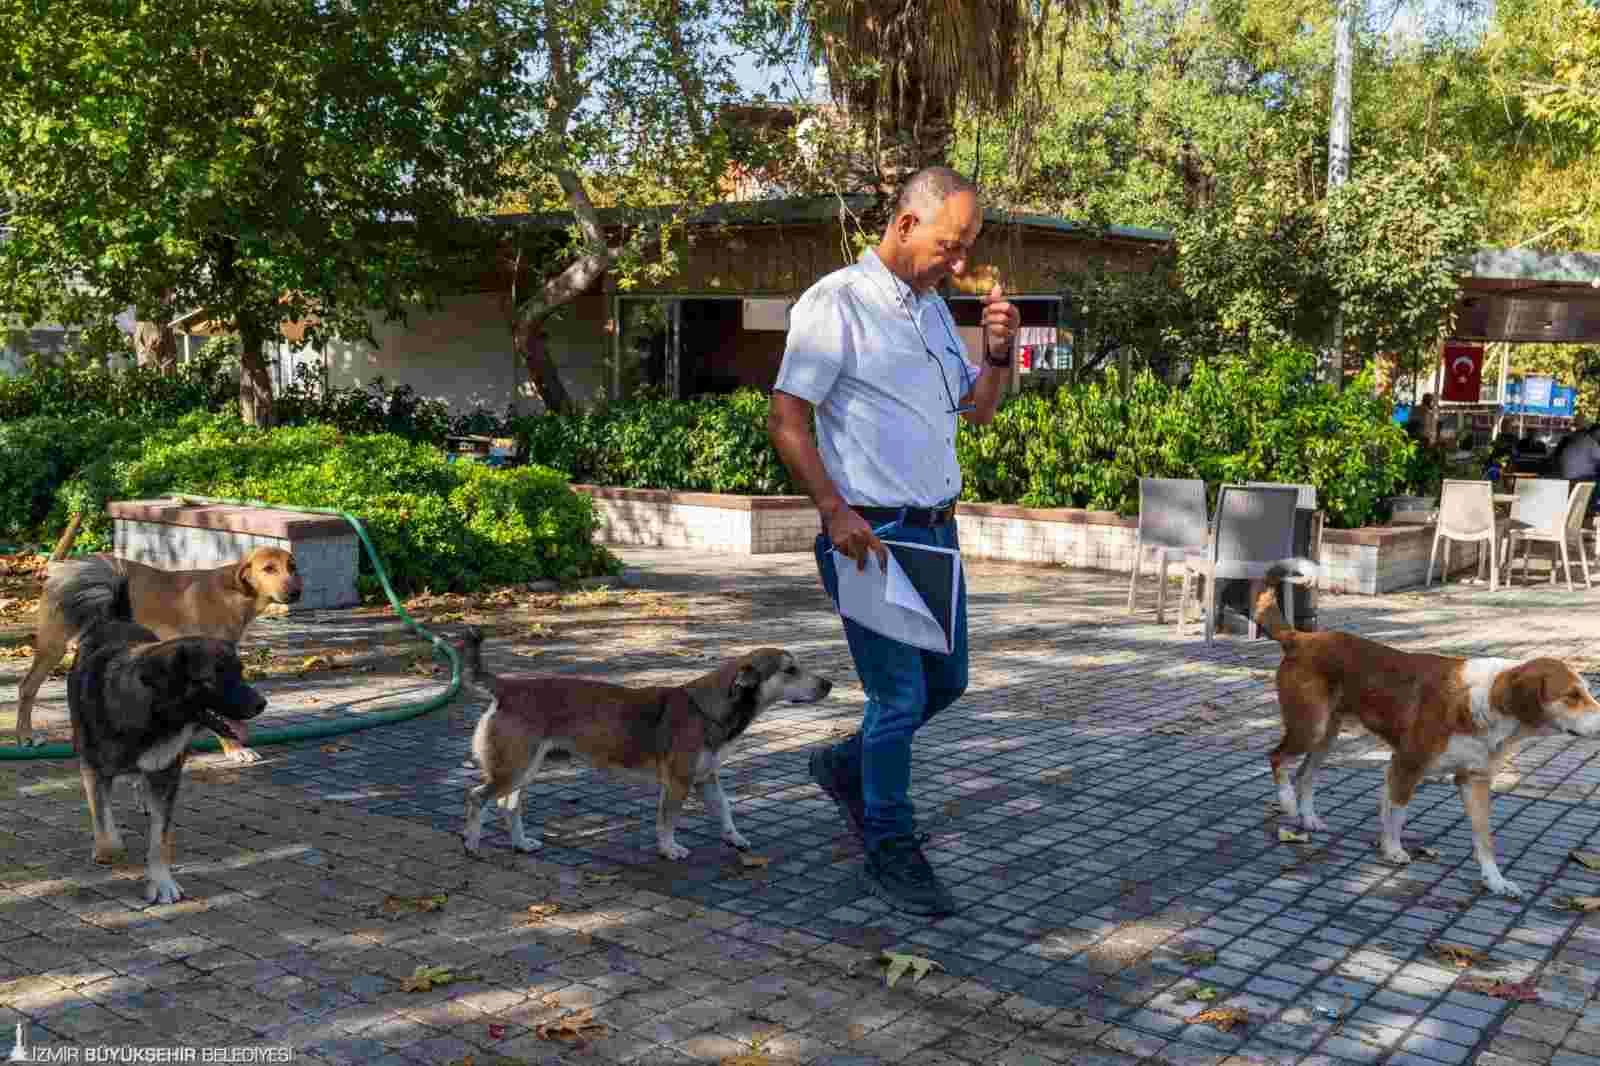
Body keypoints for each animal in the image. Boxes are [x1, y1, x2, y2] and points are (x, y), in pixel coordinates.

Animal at [59, 557, 268, 896]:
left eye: (239, 672)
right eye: (212, 678)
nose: (262, 704)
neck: (153, 718)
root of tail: (116, 619)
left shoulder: (167, 775)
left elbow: (160, 839)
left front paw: (162, 882)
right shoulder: (92, 766)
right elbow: (103, 820)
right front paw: (107, 850)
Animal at [457, 627, 832, 857]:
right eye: (790, 670)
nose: (828, 684)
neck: (708, 708)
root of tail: (507, 687)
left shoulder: (706, 779)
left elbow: (725, 811)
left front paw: (734, 838)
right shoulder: (678, 783)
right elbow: (667, 822)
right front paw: (669, 849)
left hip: (523, 772)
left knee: (508, 806)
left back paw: (520, 843)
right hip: (514, 771)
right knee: (477, 798)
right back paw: (472, 845)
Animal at [1254, 560, 1600, 889]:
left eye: (1586, 691)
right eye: (1572, 695)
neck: (1484, 702)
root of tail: (1302, 637)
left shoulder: (1473, 781)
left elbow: (1484, 839)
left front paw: (1495, 880)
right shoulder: (1406, 765)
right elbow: (1397, 814)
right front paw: (1393, 850)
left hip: (1326, 736)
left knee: (1305, 774)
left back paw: (1308, 819)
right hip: (1309, 728)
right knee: (1276, 757)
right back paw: (1287, 801)